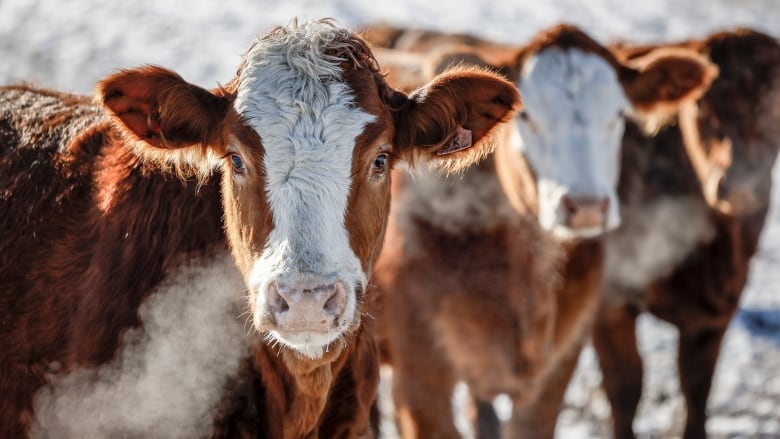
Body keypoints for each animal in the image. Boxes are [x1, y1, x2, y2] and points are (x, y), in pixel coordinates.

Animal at [596, 29, 780, 439]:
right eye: (700, 108)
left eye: (775, 108)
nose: (739, 184)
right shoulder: (610, 301)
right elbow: (626, 388)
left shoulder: (717, 311)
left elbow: (697, 388)